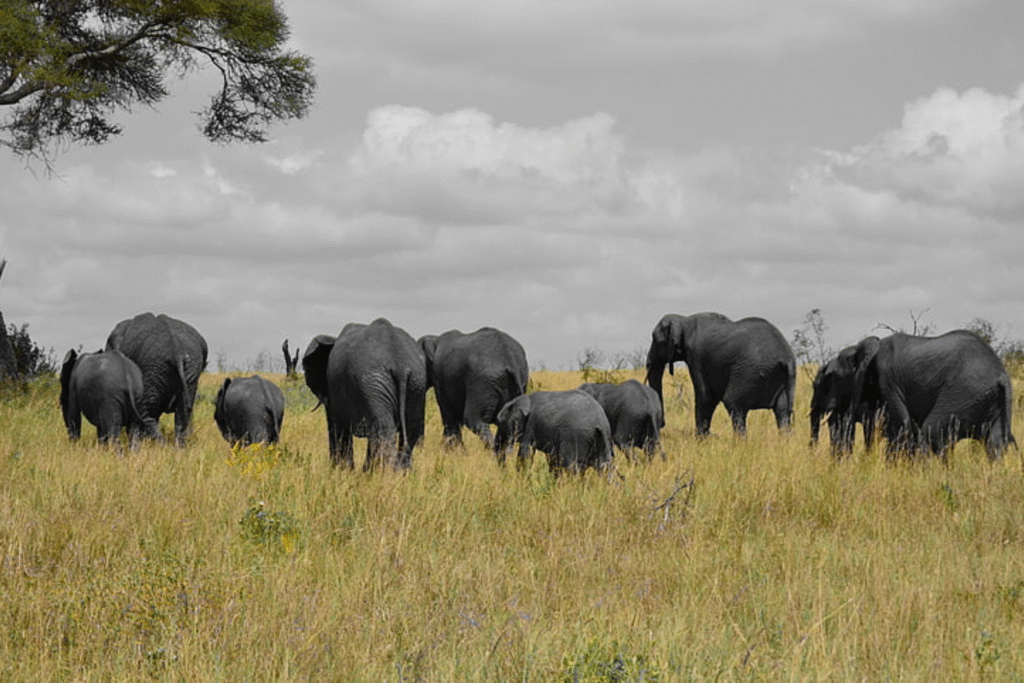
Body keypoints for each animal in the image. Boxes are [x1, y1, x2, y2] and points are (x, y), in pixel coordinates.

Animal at [105, 313, 208, 446]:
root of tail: (177, 350)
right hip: (191, 367)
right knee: (183, 410)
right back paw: (175, 447)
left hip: (152, 366)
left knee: (145, 411)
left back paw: (151, 446)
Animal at [302, 318, 428, 470]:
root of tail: (400, 366)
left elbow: (337, 427)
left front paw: (340, 470)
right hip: (415, 382)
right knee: (410, 429)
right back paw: (400, 472)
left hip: (372, 383)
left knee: (383, 429)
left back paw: (381, 472)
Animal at [645, 312, 796, 436]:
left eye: (655, 341)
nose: (662, 424)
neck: (683, 320)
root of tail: (786, 359)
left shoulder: (696, 356)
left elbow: (705, 397)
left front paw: (701, 441)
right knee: (782, 412)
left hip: (750, 373)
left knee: (734, 404)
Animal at [851, 330, 1016, 462]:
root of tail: (1002, 376)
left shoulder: (887, 382)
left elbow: (903, 426)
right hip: (990, 401)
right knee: (994, 443)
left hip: (964, 392)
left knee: (933, 430)